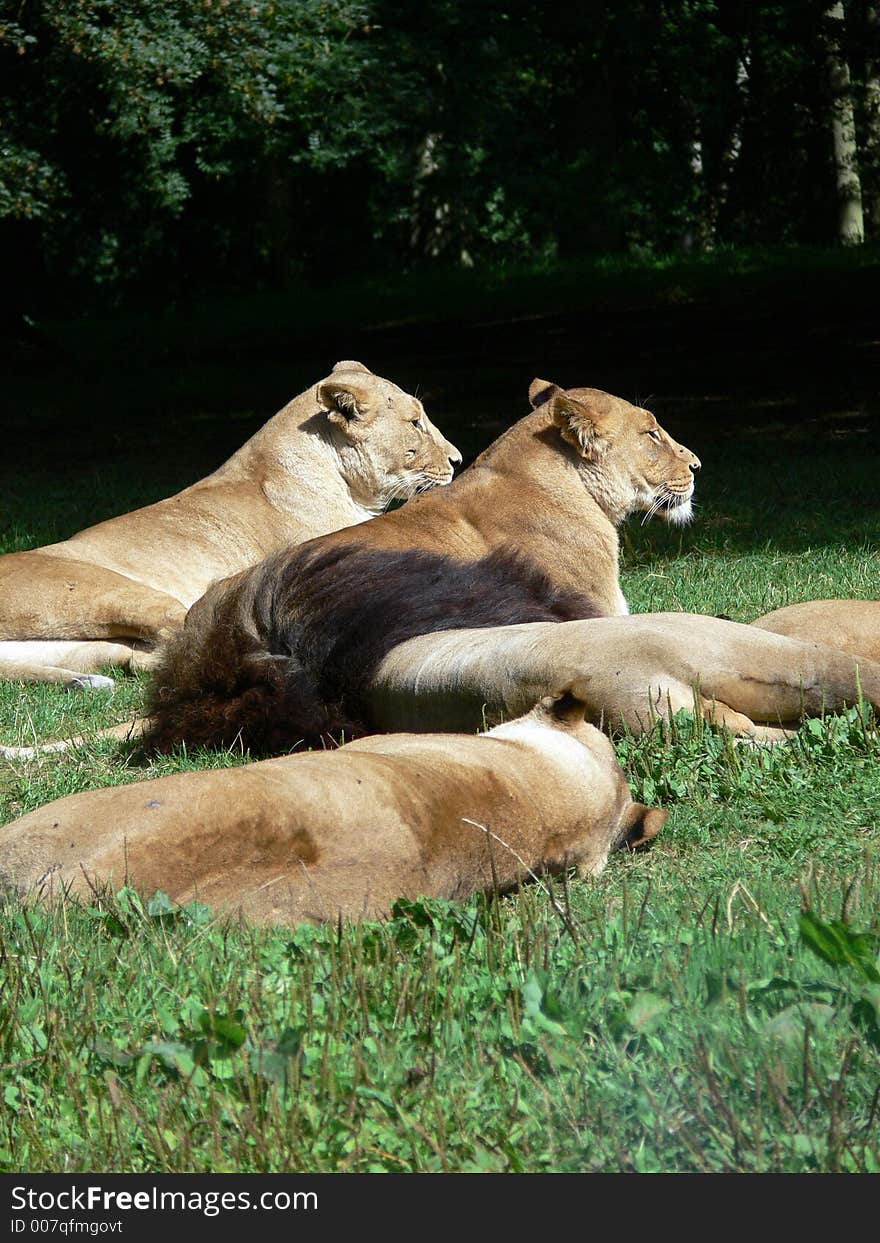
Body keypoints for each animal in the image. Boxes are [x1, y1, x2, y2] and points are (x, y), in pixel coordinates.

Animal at [0, 360, 464, 691]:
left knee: (135, 658)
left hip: (77, 646)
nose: (457, 459)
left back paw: (84, 682)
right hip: (114, 594)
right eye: (415, 422)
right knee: (182, 639)